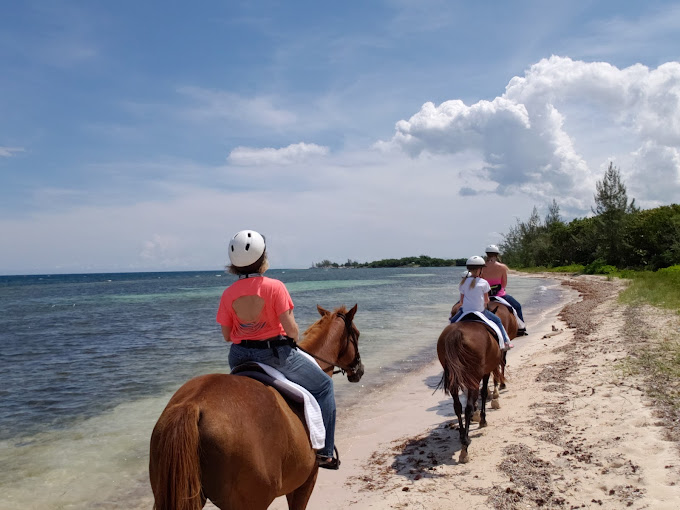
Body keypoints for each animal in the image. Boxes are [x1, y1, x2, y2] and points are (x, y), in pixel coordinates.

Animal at [438, 320, 502, 464]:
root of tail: (456, 333)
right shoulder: (485, 373)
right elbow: (483, 393)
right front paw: (482, 419)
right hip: (475, 375)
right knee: (467, 408)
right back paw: (465, 447)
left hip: (454, 379)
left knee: (457, 407)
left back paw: (462, 436)